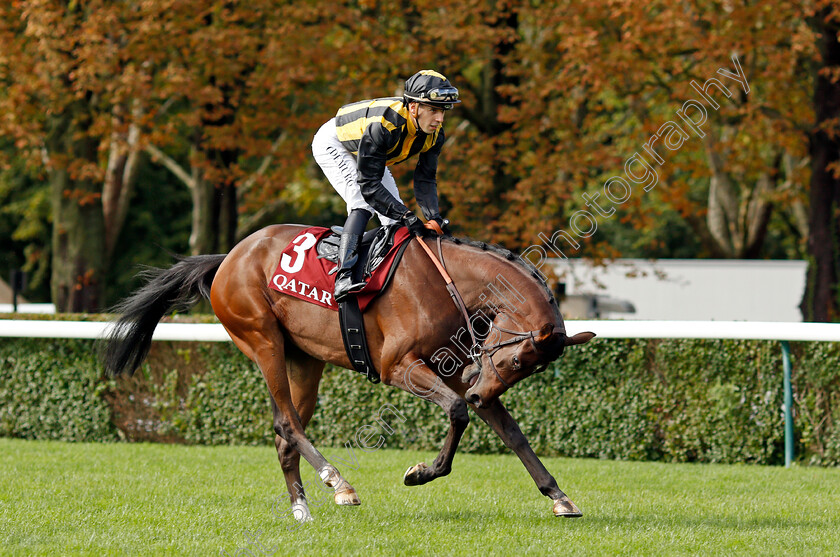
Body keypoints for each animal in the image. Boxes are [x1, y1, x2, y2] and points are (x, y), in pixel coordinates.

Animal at [101, 222, 592, 520]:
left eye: (527, 371)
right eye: (516, 361)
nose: (479, 393)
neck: (449, 284)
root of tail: (228, 258)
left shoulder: (460, 370)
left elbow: (512, 434)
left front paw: (559, 496)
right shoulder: (400, 366)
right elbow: (456, 411)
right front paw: (421, 472)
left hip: (305, 359)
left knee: (285, 435)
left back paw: (301, 508)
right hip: (262, 339)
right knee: (286, 421)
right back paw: (339, 483)